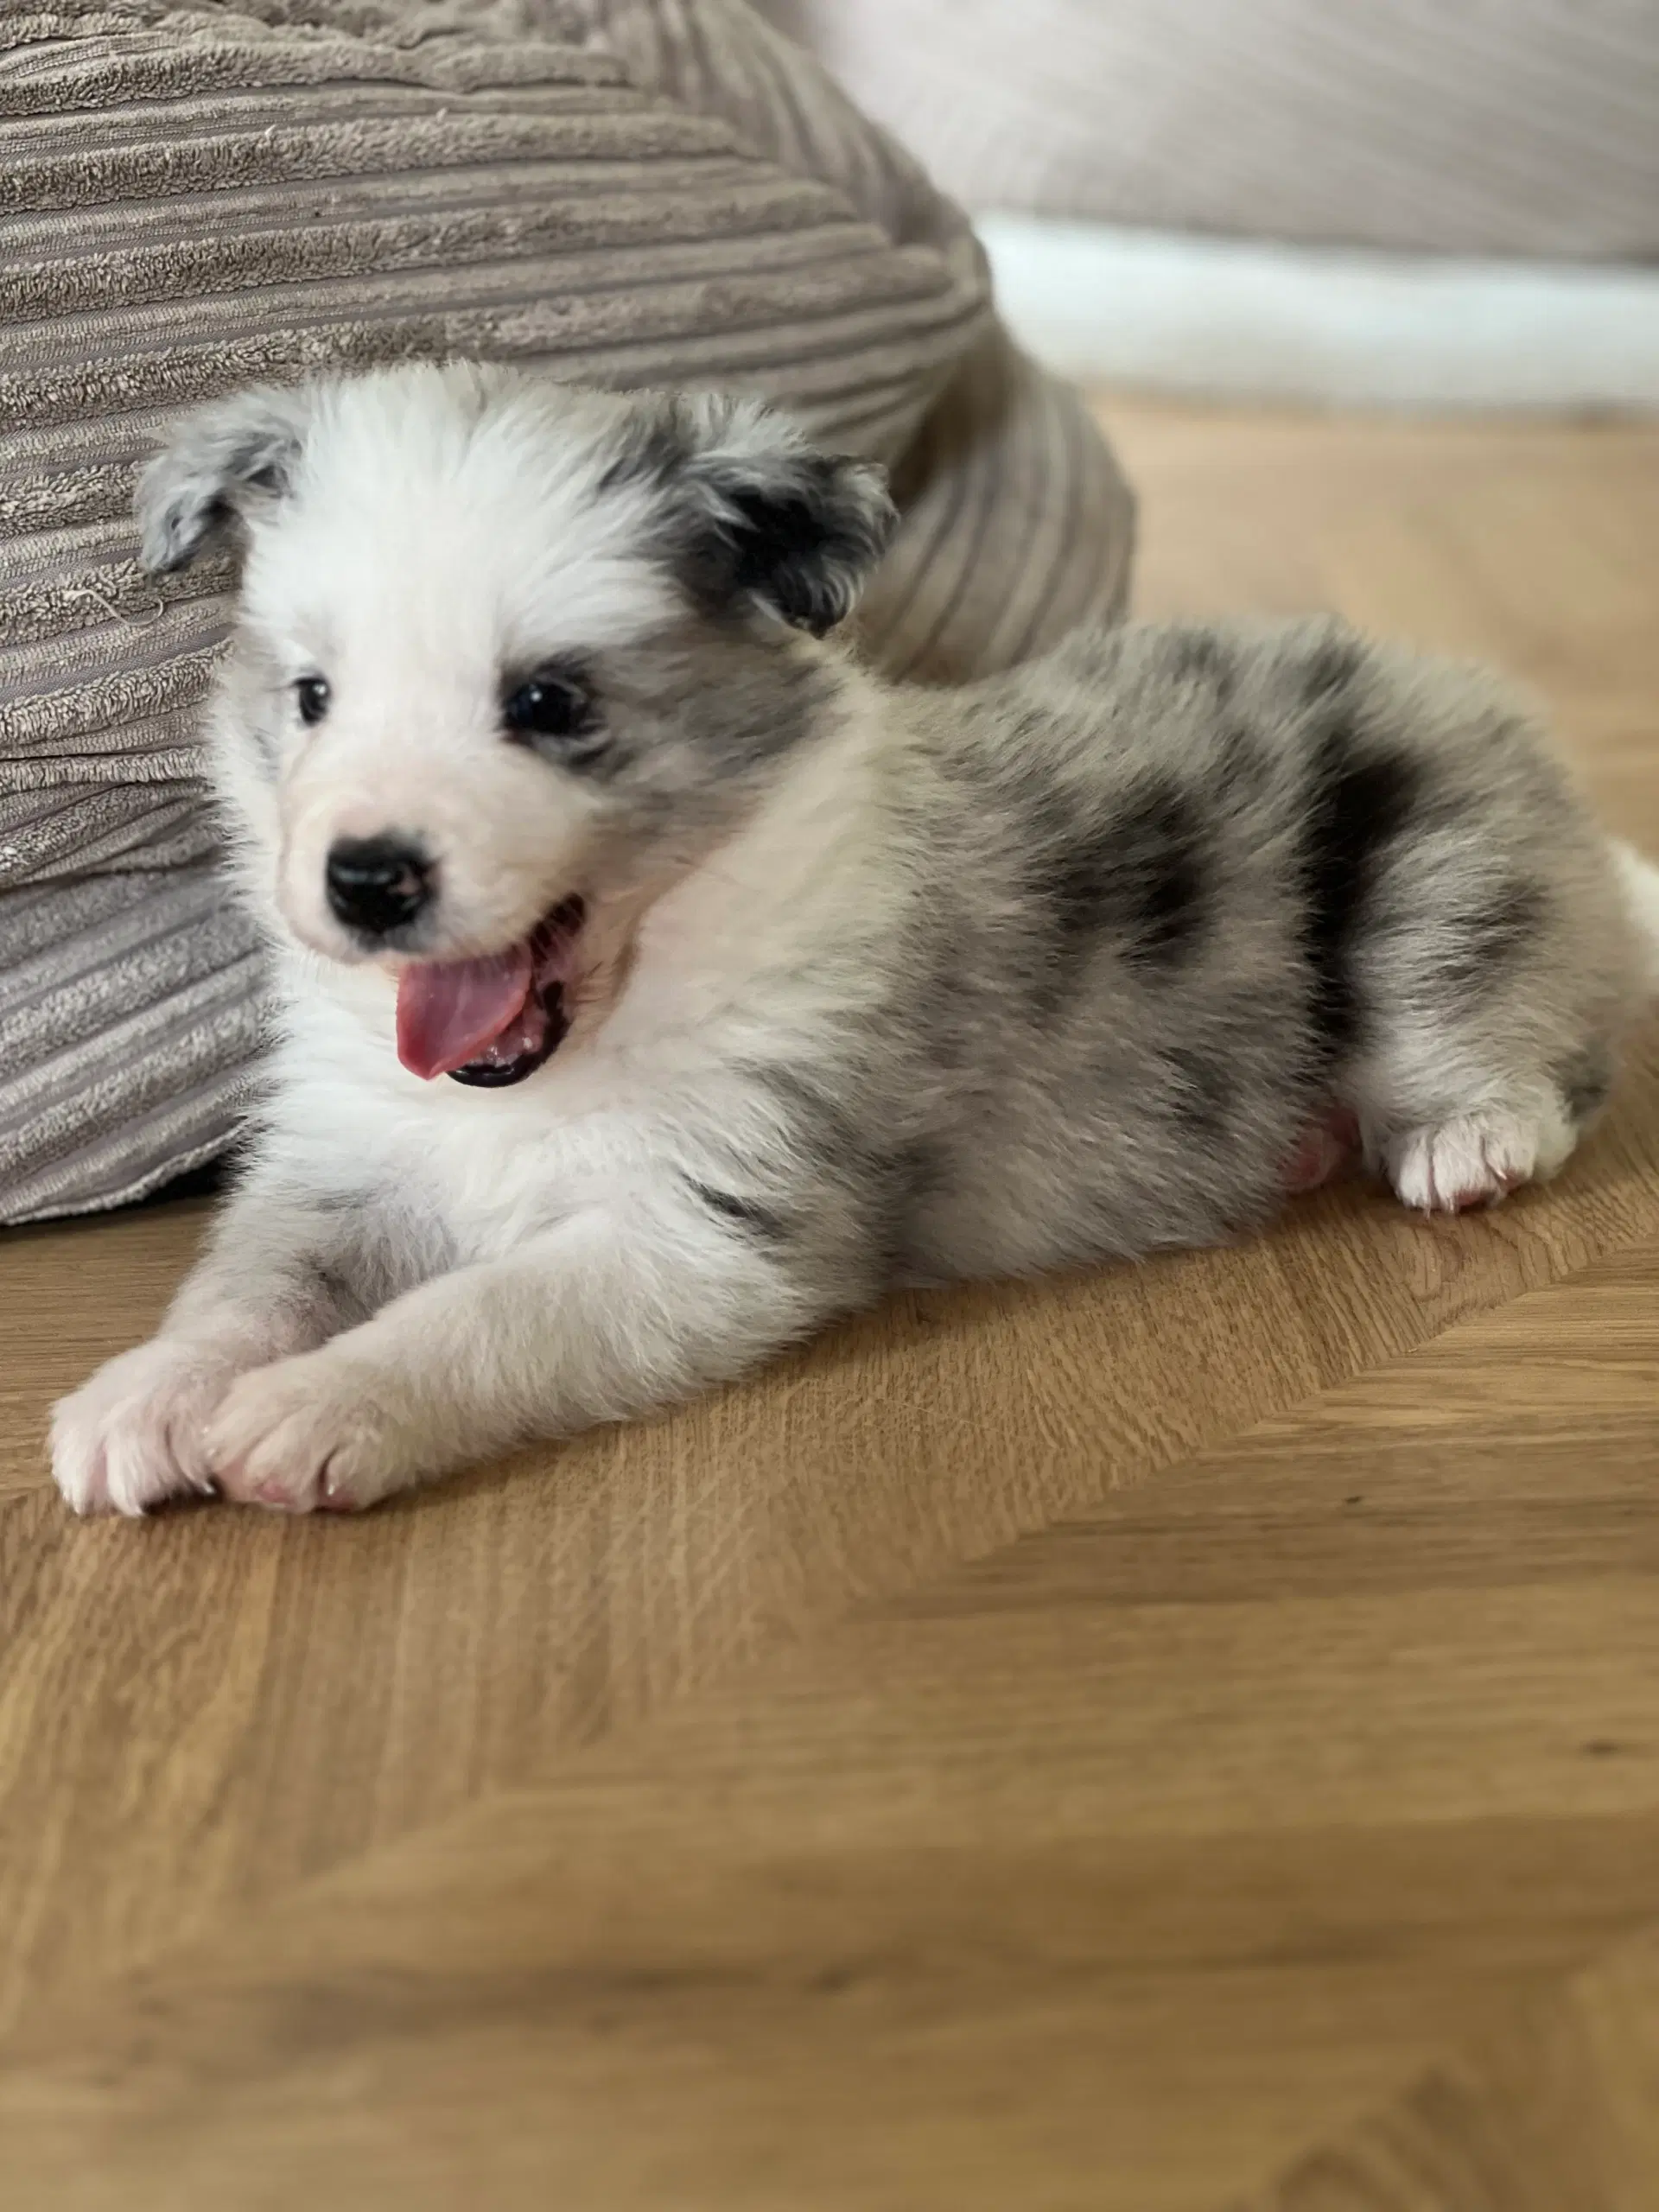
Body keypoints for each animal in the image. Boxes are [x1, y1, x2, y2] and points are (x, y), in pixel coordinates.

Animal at [52, 362, 1659, 1513]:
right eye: (312, 698)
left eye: (550, 704)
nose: (366, 880)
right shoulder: (342, 1165)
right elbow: (248, 1286)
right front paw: (151, 1395)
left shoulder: (702, 1231)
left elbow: (476, 1315)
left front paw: (310, 1409)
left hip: (1433, 872)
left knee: (1526, 1040)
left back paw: (1467, 1141)